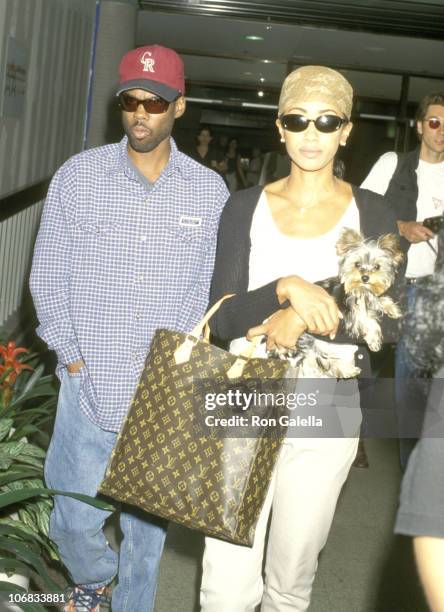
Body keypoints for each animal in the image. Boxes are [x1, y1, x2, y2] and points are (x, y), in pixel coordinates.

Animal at [278, 228, 406, 378]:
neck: (362, 290)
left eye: (377, 266)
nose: (365, 278)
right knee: (323, 359)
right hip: (309, 339)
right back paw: (347, 370)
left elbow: (381, 299)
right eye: (357, 264)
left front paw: (393, 309)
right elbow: (367, 320)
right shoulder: (350, 312)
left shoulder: (371, 296)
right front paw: (374, 339)